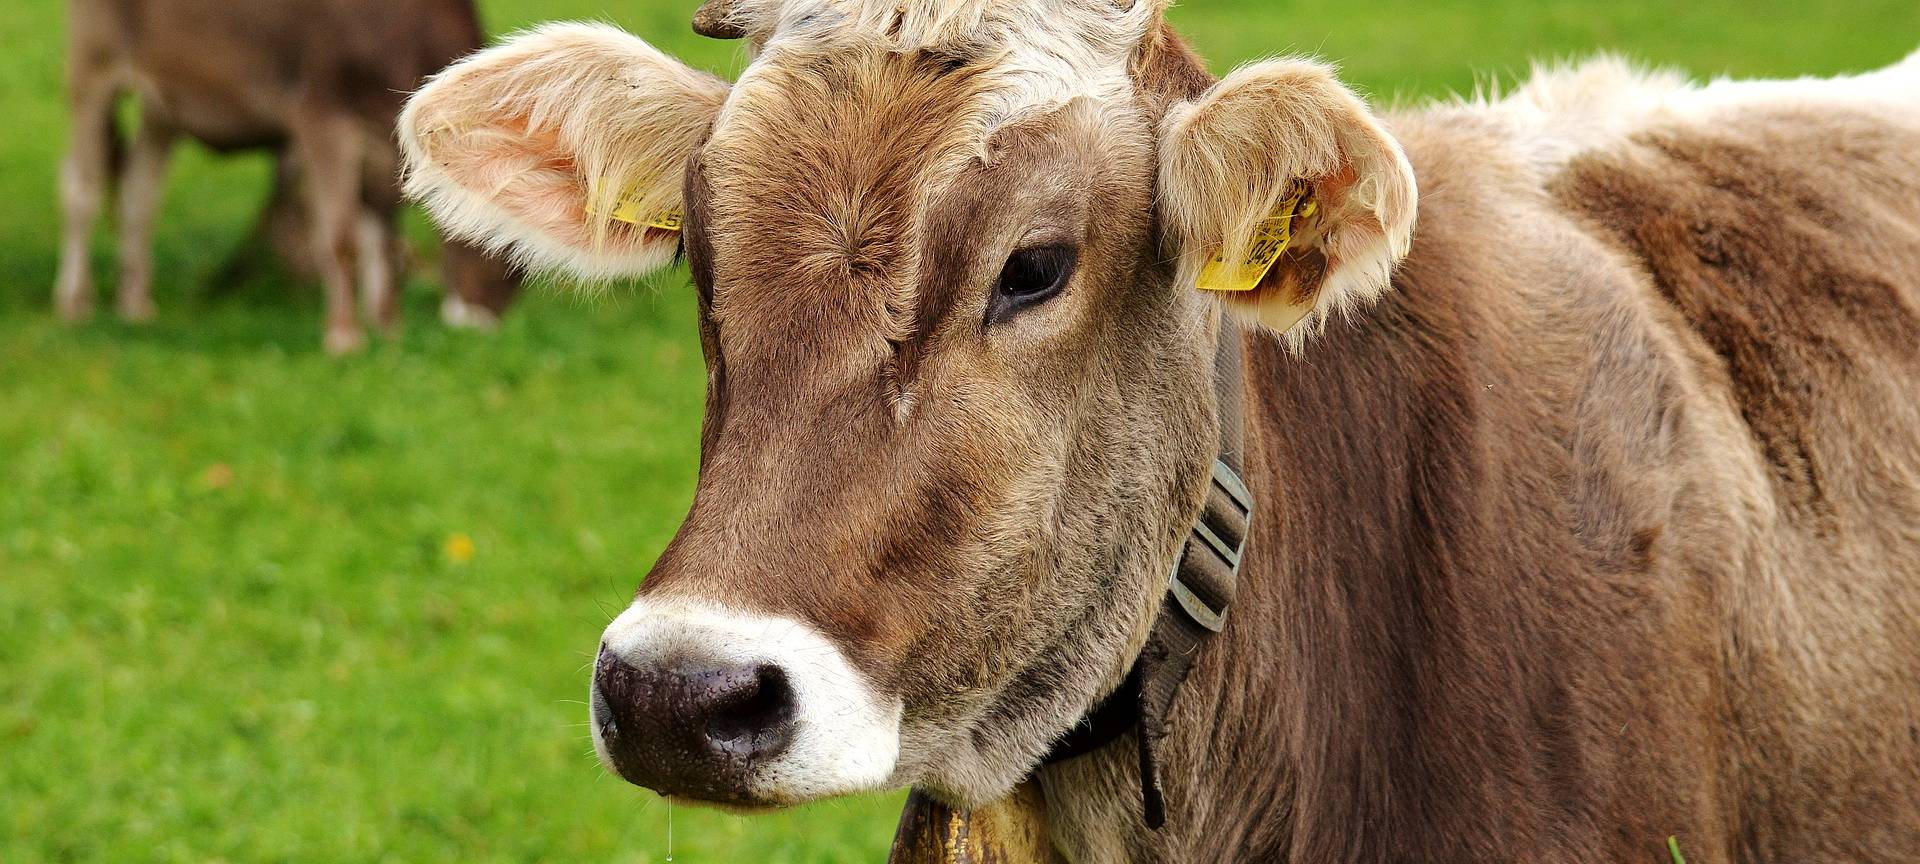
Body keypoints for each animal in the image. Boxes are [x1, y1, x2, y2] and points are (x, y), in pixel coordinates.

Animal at [58, 0, 523, 353]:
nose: (484, 321)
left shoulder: (381, 146)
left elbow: (382, 240)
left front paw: (387, 329)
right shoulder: (321, 117)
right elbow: (340, 238)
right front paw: (344, 336)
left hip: (164, 107)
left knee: (140, 194)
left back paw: (135, 304)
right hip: (93, 67)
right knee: (81, 188)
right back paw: (74, 302)